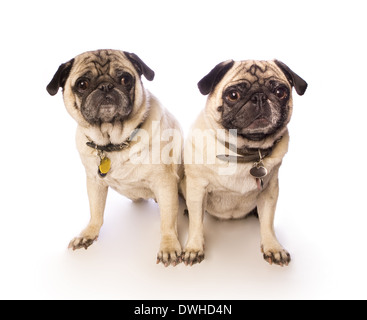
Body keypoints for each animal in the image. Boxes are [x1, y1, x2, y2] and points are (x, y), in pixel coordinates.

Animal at [46, 48, 184, 266]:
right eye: (82, 84)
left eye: (125, 79)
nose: (105, 86)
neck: (113, 143)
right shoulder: (94, 182)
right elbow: (95, 212)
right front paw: (88, 234)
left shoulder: (165, 183)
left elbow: (167, 221)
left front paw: (169, 246)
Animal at [183, 58, 308, 266]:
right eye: (233, 95)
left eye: (280, 92)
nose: (259, 97)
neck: (245, 152)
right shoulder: (197, 189)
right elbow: (196, 223)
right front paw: (193, 247)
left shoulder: (269, 191)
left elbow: (268, 223)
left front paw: (273, 247)